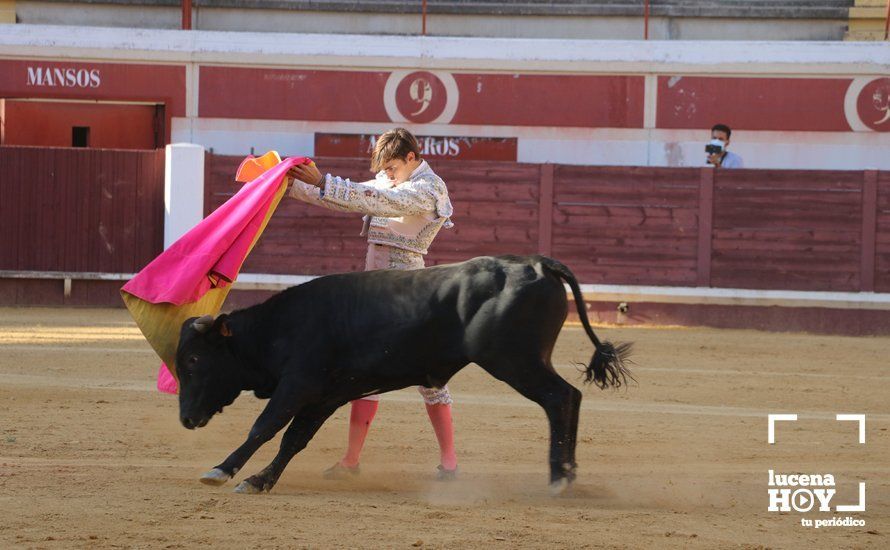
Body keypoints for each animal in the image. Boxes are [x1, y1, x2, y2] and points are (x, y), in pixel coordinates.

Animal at [175, 256, 632, 498]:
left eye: (194, 360)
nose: (186, 419)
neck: (281, 327)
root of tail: (537, 263)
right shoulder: (325, 395)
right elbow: (294, 439)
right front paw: (261, 480)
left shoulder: (298, 384)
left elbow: (264, 426)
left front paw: (223, 470)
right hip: (528, 361)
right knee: (570, 397)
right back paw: (568, 472)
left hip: (514, 362)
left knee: (559, 399)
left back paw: (558, 476)